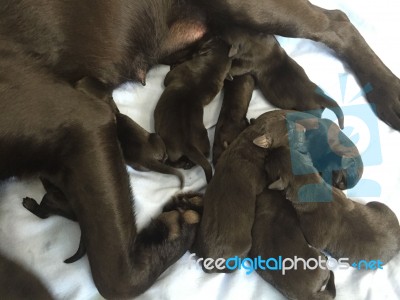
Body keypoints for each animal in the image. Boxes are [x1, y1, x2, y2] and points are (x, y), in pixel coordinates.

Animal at [154, 37, 234, 183]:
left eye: (211, 40)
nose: (217, 35)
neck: (212, 68)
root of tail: (188, 145)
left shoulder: (171, 76)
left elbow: (167, 77)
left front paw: (174, 65)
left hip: (169, 148)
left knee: (174, 161)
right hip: (204, 141)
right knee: (202, 156)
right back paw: (189, 163)